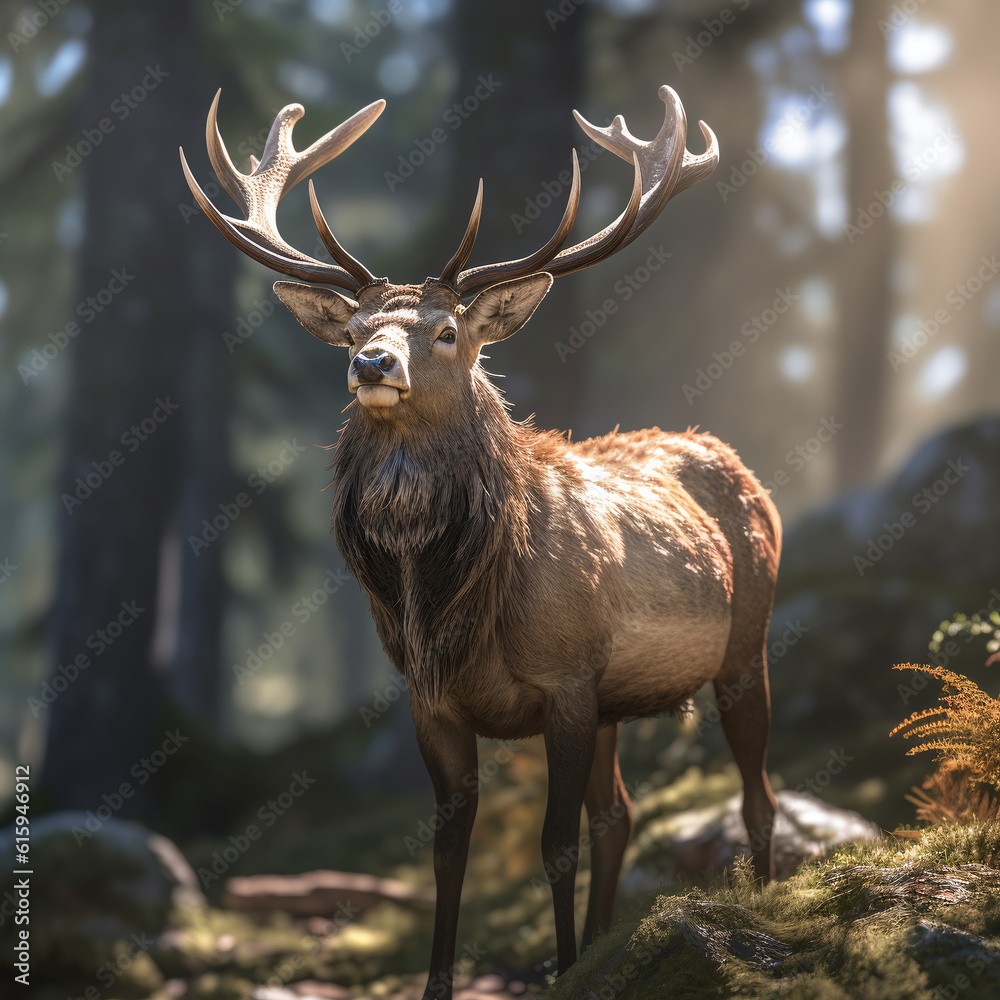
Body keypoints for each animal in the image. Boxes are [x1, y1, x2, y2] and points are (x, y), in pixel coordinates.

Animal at [181, 84, 781, 1000]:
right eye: (355, 325)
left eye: (447, 332)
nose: (371, 364)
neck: (456, 599)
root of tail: (740, 465)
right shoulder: (434, 698)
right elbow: (446, 852)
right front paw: (448, 982)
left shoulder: (566, 680)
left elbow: (553, 844)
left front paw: (561, 972)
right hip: (619, 696)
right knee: (620, 814)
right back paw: (603, 948)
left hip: (746, 641)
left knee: (754, 794)